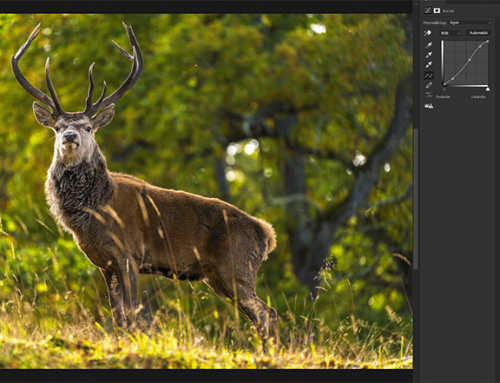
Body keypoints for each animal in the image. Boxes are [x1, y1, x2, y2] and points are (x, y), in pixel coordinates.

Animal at [11, 21, 280, 344]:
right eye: (58, 127)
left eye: (87, 127)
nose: (70, 136)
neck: (96, 210)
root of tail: (266, 234)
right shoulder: (105, 263)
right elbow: (117, 316)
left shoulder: (129, 253)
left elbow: (132, 313)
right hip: (217, 276)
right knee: (262, 313)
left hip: (236, 265)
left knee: (266, 312)